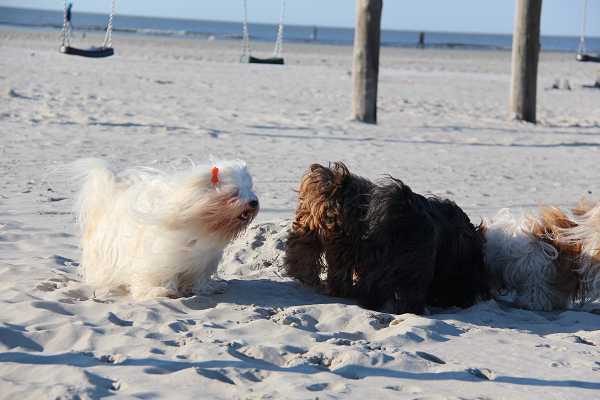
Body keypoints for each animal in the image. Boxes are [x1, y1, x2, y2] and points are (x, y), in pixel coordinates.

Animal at [74, 158, 259, 299]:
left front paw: (205, 288)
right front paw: (162, 291)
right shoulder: (161, 257)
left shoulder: (203, 261)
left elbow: (199, 278)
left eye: (250, 188)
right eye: (234, 192)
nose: (254, 202)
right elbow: (160, 276)